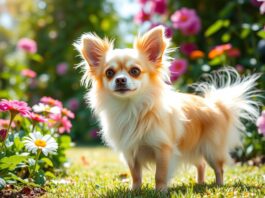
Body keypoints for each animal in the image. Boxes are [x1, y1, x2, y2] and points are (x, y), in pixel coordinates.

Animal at [73, 25, 260, 191]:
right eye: (109, 73)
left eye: (135, 71)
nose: (120, 80)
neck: (131, 108)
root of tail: (216, 105)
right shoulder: (130, 152)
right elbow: (135, 174)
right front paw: (135, 190)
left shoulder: (163, 149)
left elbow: (160, 175)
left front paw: (160, 191)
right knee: (200, 165)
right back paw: (200, 183)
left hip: (211, 150)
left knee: (218, 168)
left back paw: (218, 185)